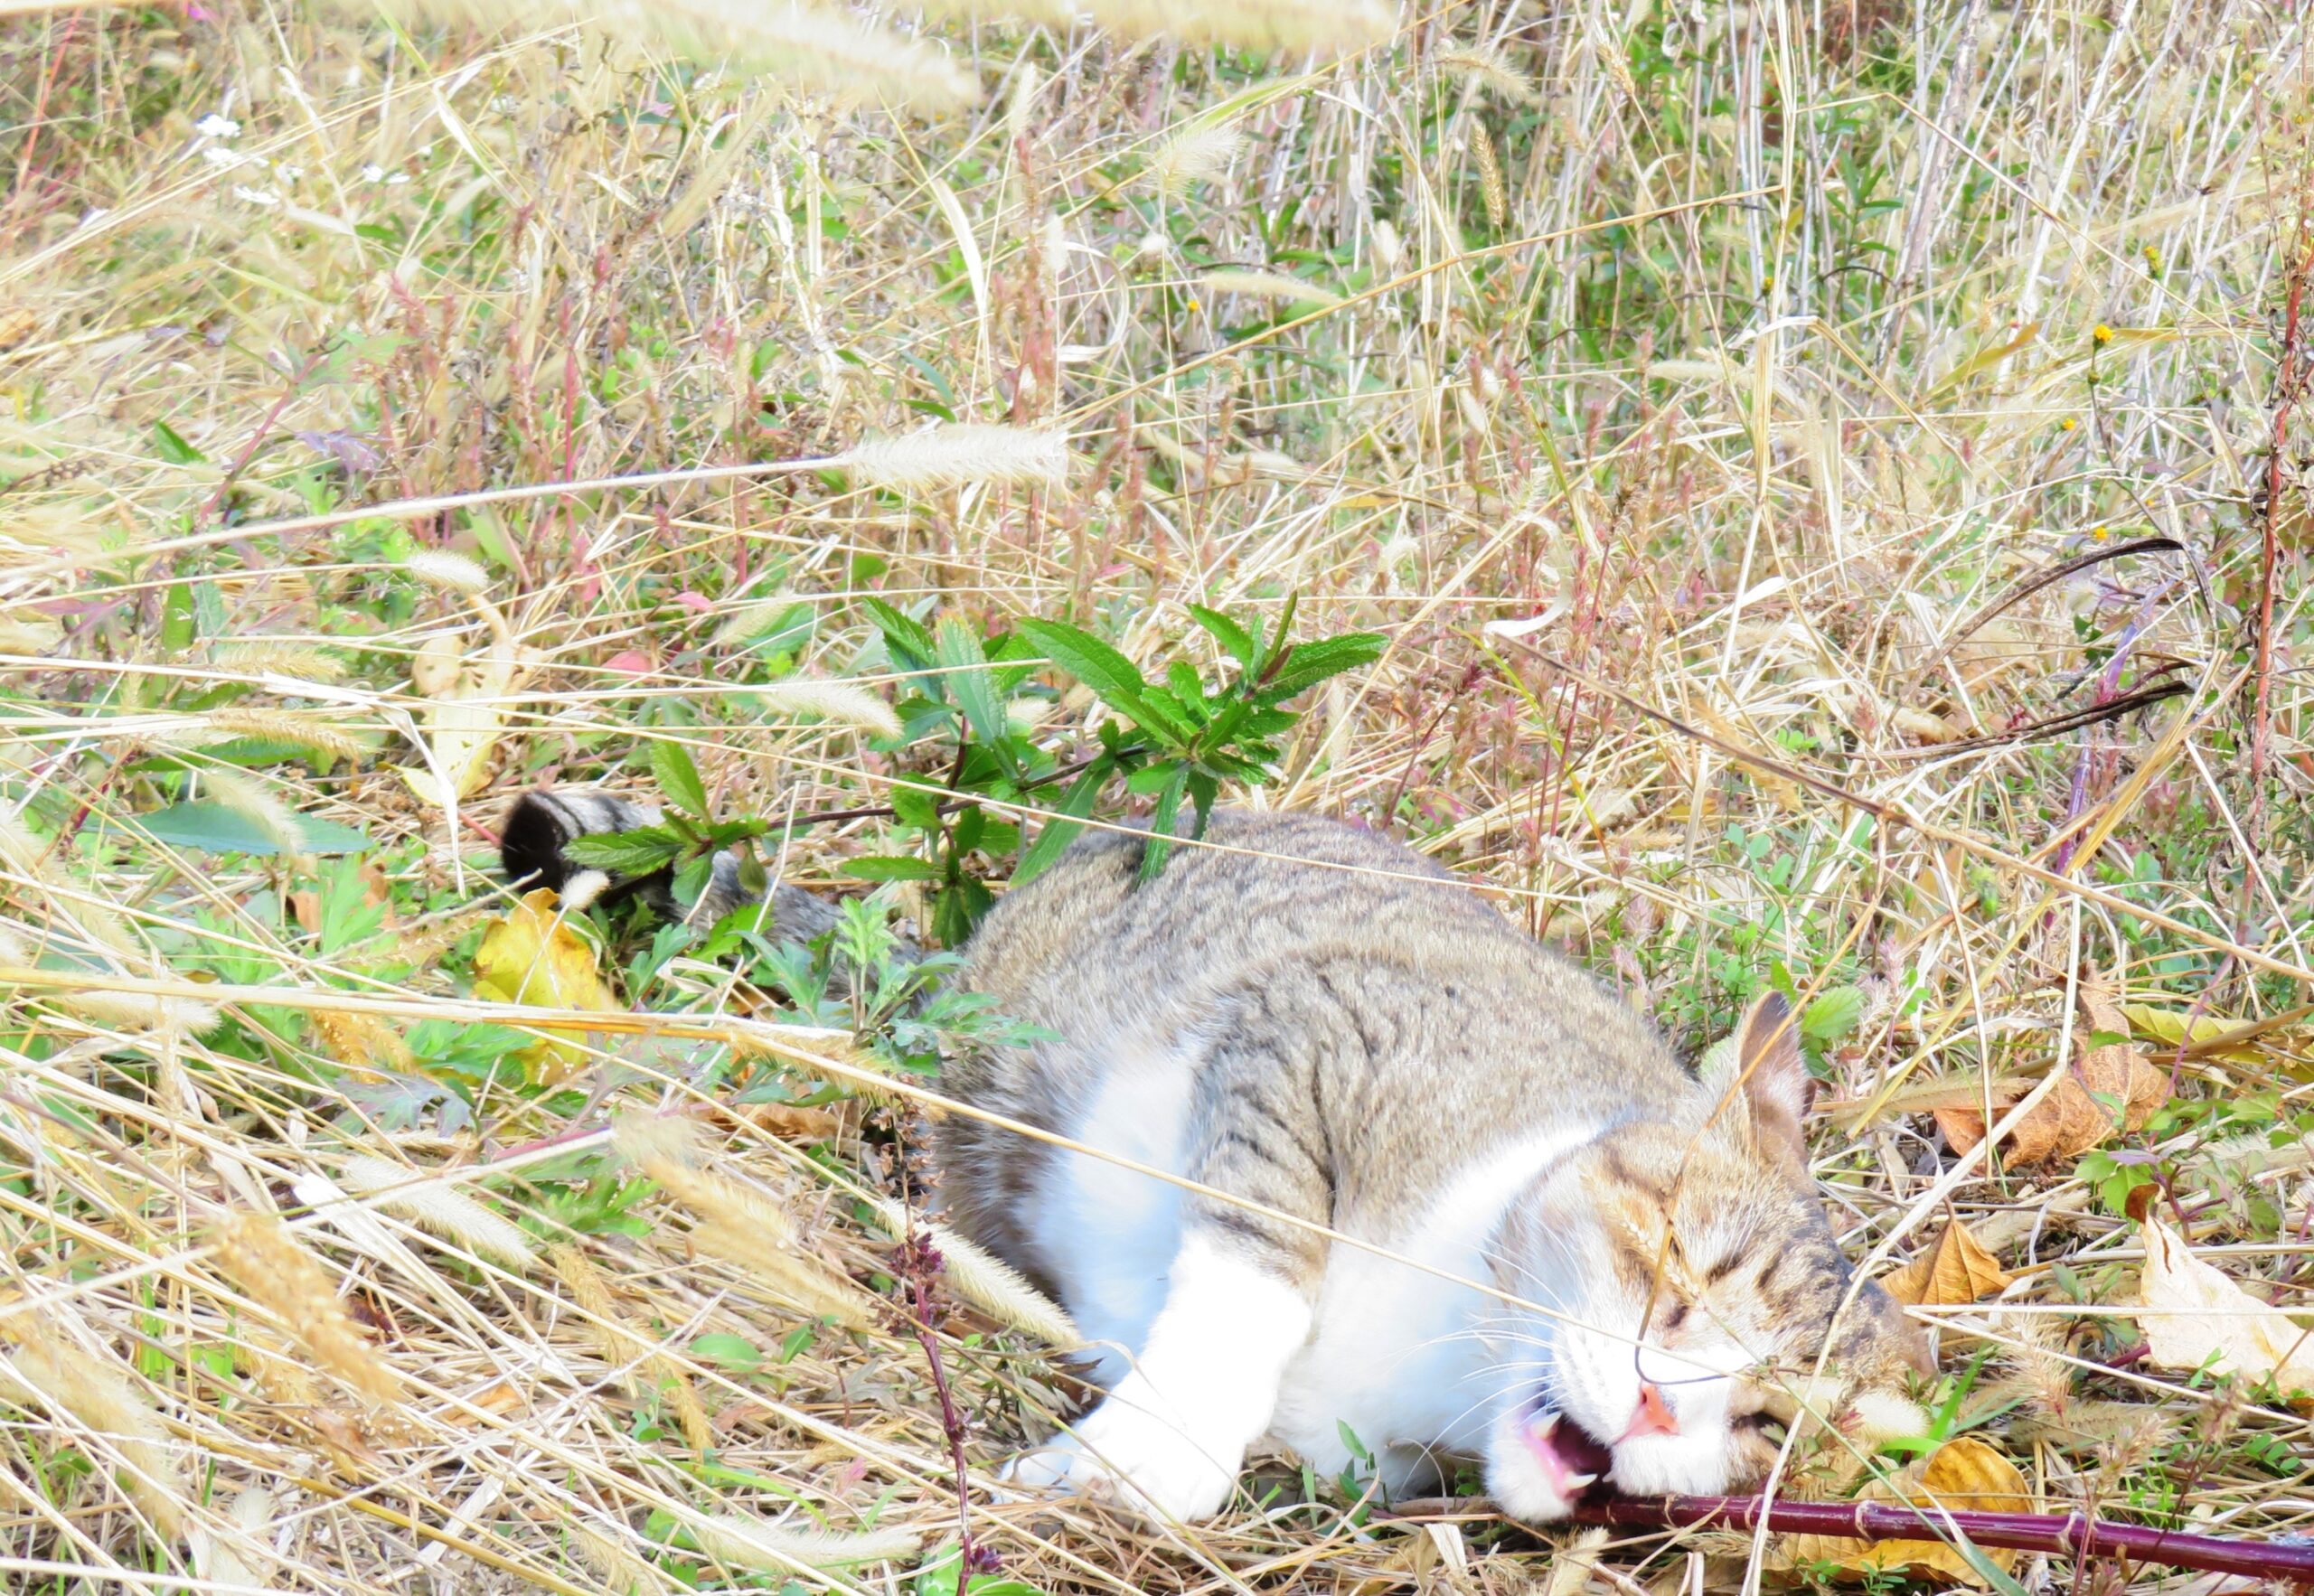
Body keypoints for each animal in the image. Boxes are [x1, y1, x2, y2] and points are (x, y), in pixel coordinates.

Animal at [511, 791, 1934, 1516]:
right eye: (1673, 1266)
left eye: (1766, 1425)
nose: (1652, 1409)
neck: (1450, 1358)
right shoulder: (1318, 1023)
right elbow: (1255, 1266)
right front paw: (1152, 1453)